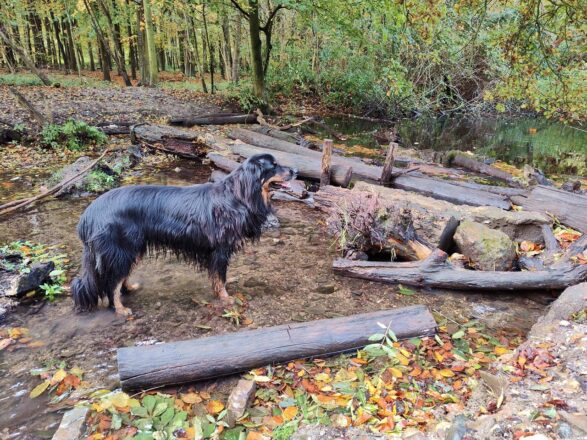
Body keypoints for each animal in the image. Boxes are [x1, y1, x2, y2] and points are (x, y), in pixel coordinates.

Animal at [71, 153, 296, 314]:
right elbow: (220, 278)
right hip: (122, 248)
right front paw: (226, 298)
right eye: (274, 165)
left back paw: (129, 289)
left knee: (119, 277)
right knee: (112, 282)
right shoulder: (220, 249)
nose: (295, 170)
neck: (237, 196)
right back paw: (120, 309)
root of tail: (88, 215)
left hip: (131, 249)